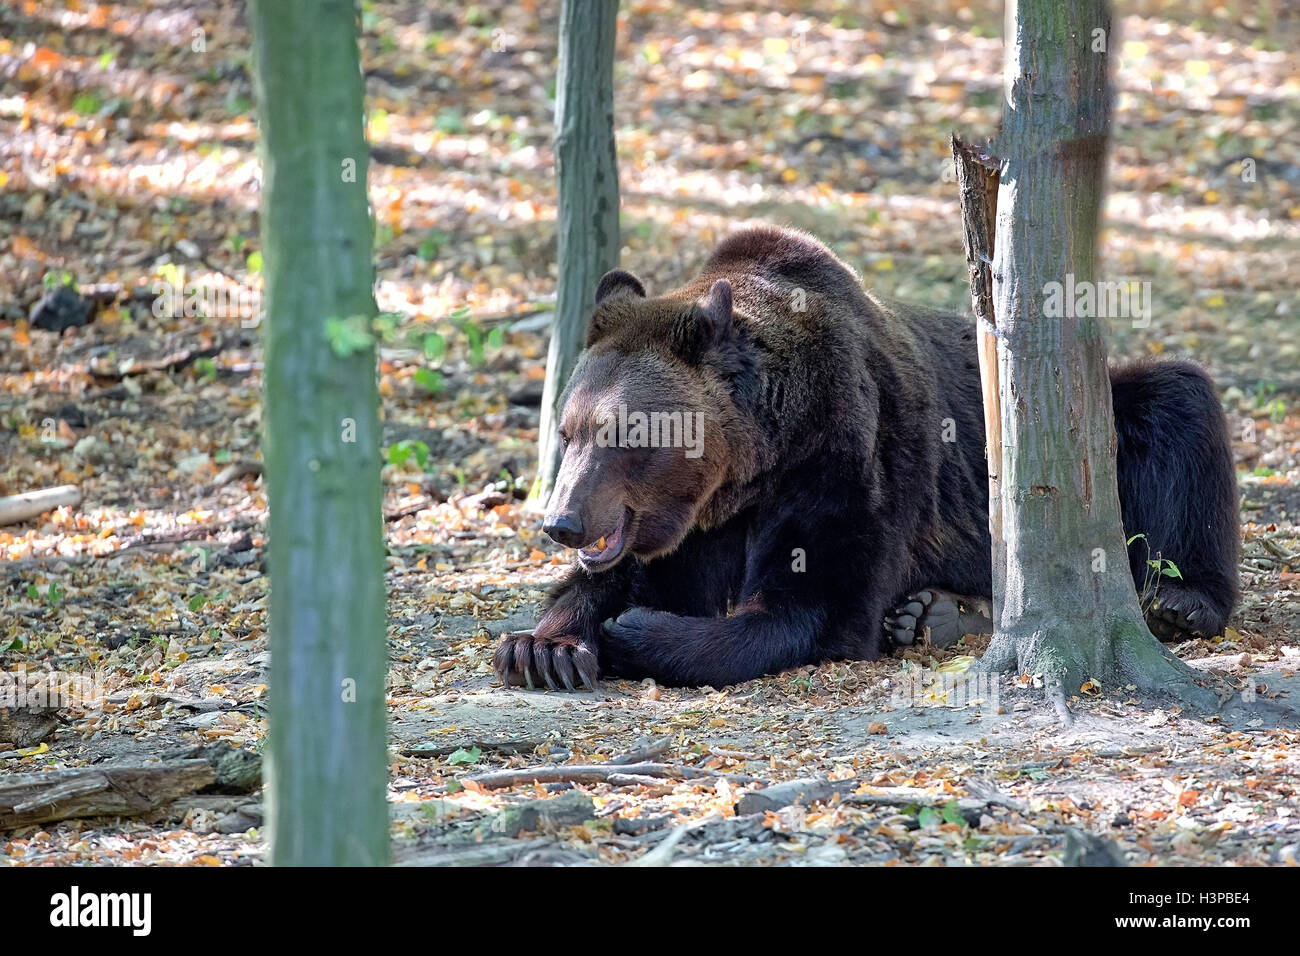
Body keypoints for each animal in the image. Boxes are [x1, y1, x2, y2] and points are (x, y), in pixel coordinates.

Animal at [493, 226, 1240, 690]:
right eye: (569, 430)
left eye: (624, 434)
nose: (561, 522)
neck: (751, 467)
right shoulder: (694, 525)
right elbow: (607, 581)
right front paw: (545, 646)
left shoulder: (843, 455)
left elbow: (809, 605)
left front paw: (636, 630)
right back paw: (933, 614)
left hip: (1105, 425)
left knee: (1179, 403)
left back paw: (1181, 603)